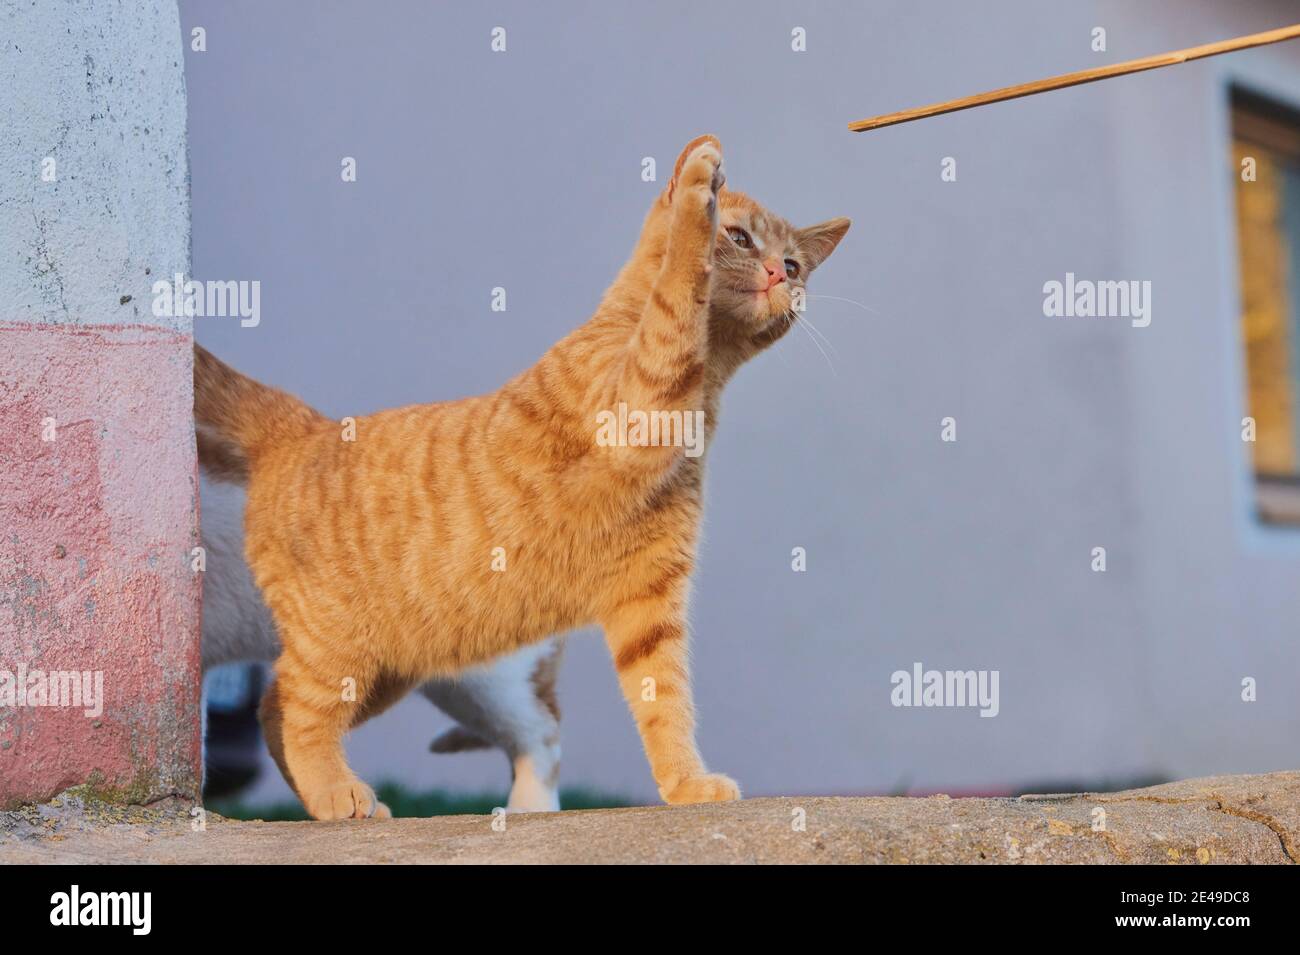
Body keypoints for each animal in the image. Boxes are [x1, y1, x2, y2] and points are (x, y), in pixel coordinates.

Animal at [189, 136, 842, 821]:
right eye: (739, 238)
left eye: (794, 266)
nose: (778, 276)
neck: (704, 388)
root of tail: (301, 427)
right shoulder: (642, 396)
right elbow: (678, 288)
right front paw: (698, 191)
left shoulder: (649, 596)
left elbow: (665, 701)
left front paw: (686, 784)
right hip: (343, 649)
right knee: (297, 708)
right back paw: (337, 792)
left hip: (394, 668)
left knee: (272, 707)